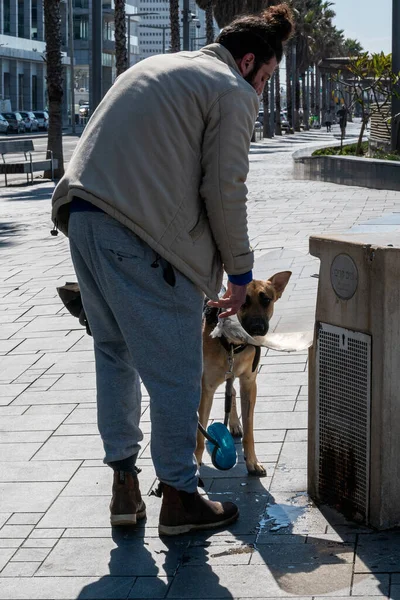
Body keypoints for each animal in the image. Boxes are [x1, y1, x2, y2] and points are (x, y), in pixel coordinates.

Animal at [196, 270, 292, 476]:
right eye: (243, 302)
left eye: (266, 300)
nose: (257, 328)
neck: (233, 343)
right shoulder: (206, 388)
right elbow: (199, 434)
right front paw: (195, 464)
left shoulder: (249, 384)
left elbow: (249, 430)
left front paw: (253, 462)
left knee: (230, 391)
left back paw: (233, 424)